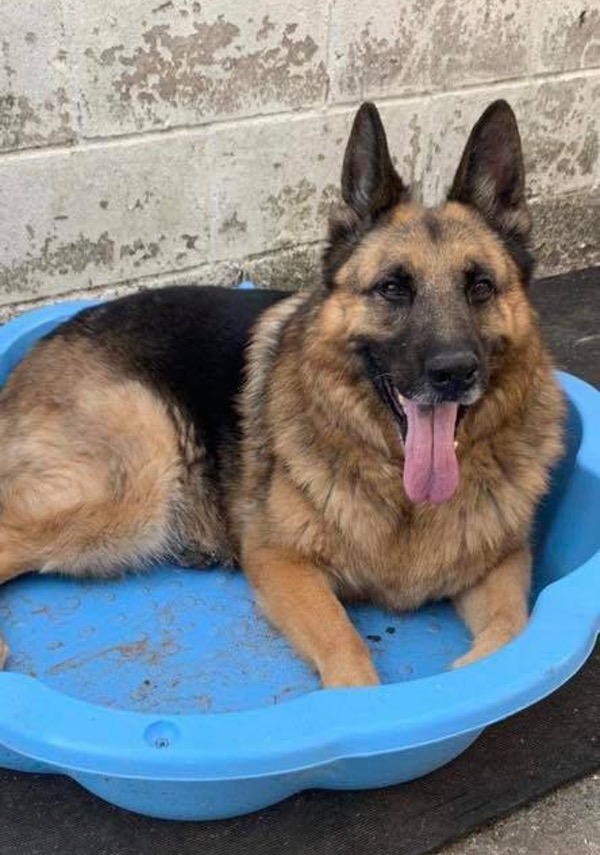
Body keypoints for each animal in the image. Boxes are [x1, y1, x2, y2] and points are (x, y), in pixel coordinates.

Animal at [0, 102, 564, 688]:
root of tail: (44, 341)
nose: (454, 371)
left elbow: (511, 633)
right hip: (134, 476)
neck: (402, 495)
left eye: (481, 287)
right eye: (392, 288)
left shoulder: (504, 562)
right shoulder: (280, 562)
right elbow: (347, 649)